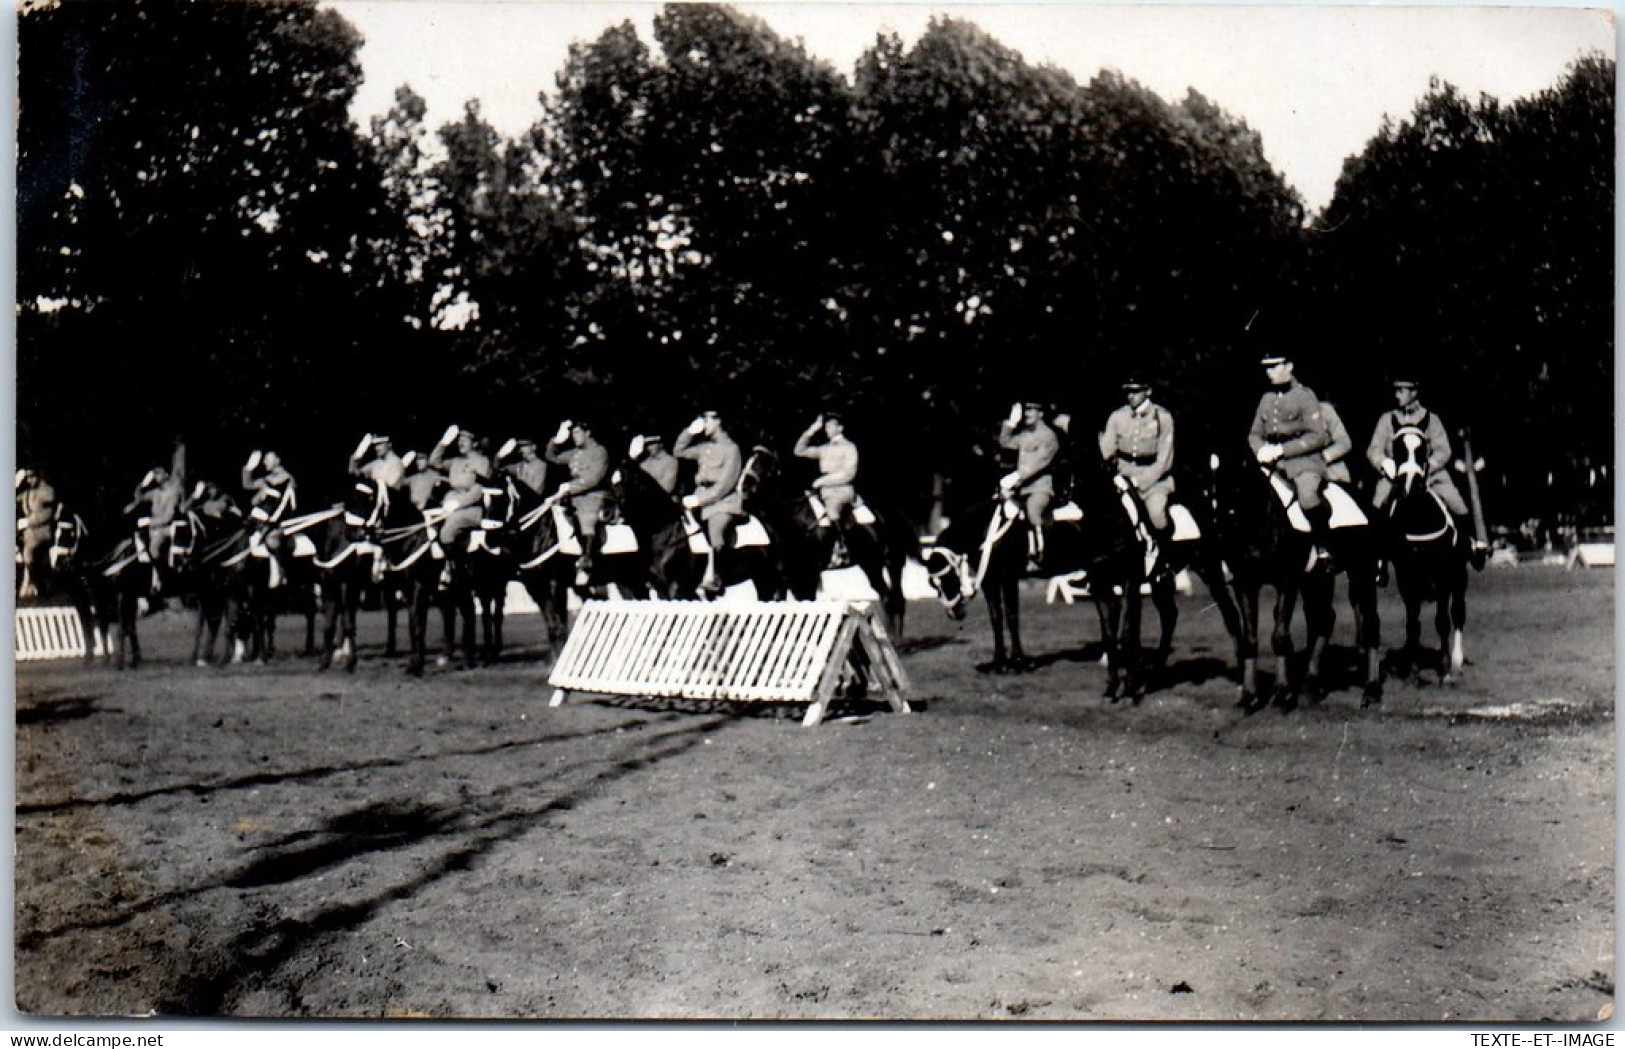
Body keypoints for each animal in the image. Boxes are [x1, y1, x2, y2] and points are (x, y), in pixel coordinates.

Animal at [1196, 451, 1384, 714]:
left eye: (1233, 477)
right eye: (1202, 480)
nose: (1216, 537)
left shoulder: (1288, 581)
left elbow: (1280, 635)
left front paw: (1283, 694)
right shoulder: (1246, 584)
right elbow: (1250, 639)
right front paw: (1250, 696)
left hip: (1362, 572)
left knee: (1370, 624)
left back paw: (1371, 690)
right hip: (1317, 580)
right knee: (1323, 621)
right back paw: (1311, 685)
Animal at [1384, 422, 1475, 685]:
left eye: (1423, 449)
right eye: (1397, 449)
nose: (1409, 485)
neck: (1418, 519)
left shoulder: (1443, 578)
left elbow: (1442, 621)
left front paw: (1444, 671)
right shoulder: (1406, 580)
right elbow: (1413, 624)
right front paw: (1413, 672)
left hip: (1459, 579)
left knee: (1457, 614)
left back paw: (1455, 661)